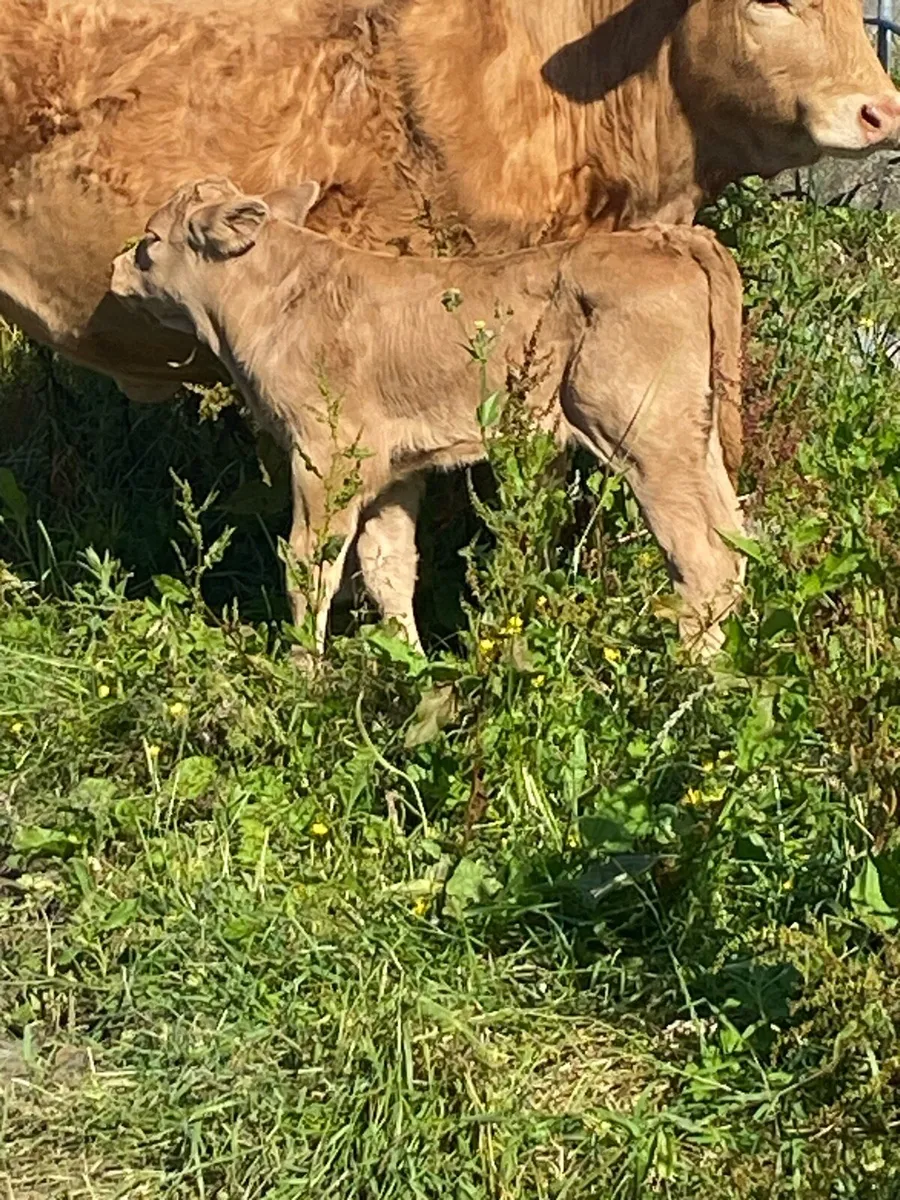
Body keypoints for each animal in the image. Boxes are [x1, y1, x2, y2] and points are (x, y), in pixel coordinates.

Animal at [110, 176, 746, 657]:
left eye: (151, 238)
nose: (115, 268)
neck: (277, 301)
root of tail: (670, 236)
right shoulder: (396, 467)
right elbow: (389, 566)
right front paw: (410, 662)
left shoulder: (324, 455)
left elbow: (310, 563)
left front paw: (303, 672)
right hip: (694, 438)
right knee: (737, 543)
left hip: (644, 436)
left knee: (704, 560)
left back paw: (689, 676)